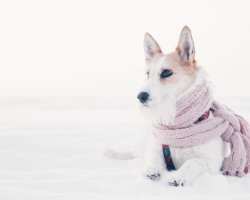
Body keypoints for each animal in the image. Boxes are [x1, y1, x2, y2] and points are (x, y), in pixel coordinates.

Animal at [104, 26, 229, 186]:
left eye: (166, 72)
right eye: (148, 73)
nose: (140, 96)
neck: (178, 127)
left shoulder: (212, 163)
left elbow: (192, 162)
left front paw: (179, 176)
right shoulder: (156, 149)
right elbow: (153, 158)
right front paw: (151, 169)